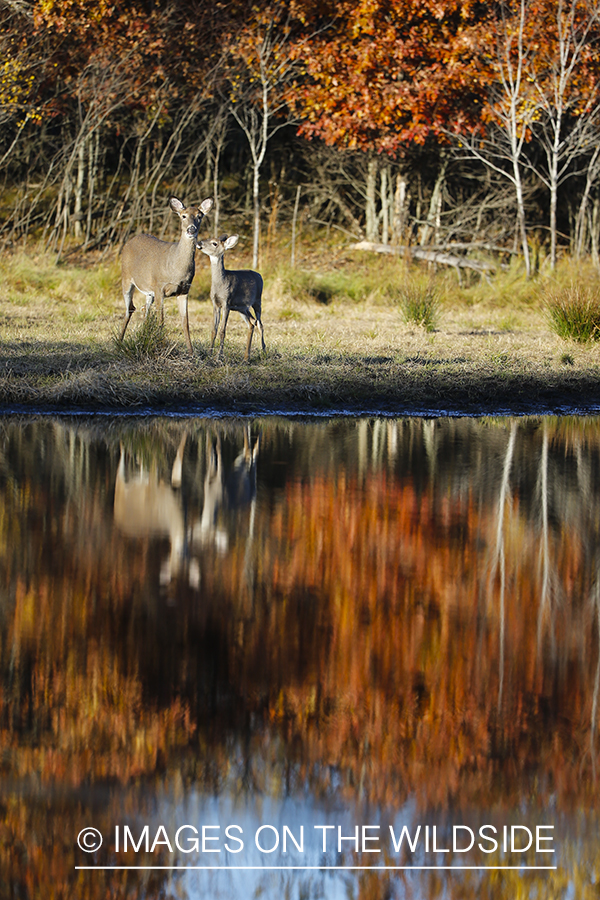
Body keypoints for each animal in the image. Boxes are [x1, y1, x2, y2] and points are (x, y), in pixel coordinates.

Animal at [119, 196, 213, 353]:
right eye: (183, 216)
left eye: (199, 216)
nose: (191, 229)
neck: (176, 268)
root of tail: (130, 240)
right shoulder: (159, 287)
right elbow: (161, 321)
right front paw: (161, 346)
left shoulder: (184, 290)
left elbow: (185, 322)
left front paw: (191, 352)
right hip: (126, 278)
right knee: (129, 309)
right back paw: (119, 341)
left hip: (148, 291)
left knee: (144, 309)